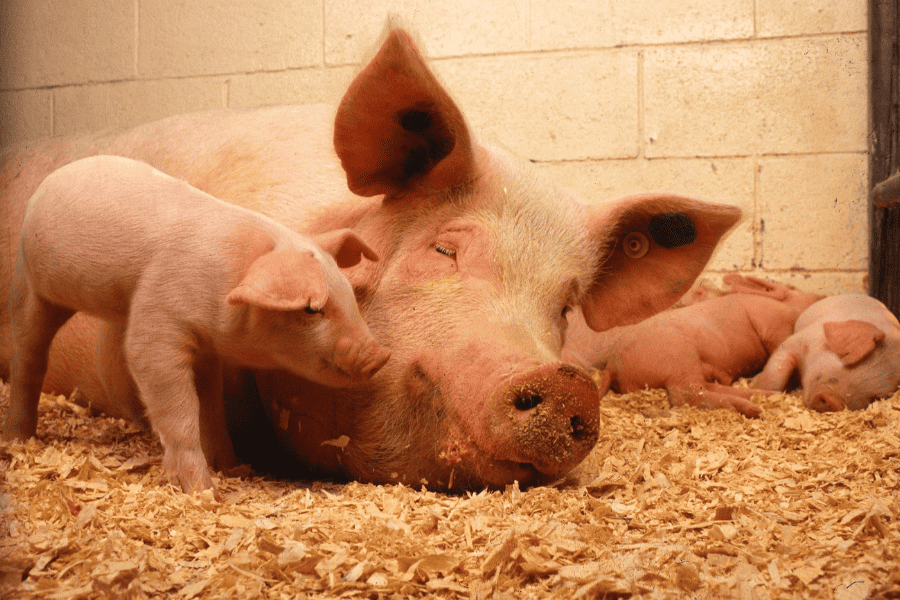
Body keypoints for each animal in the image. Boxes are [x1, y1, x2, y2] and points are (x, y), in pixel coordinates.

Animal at [3, 157, 390, 494]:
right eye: (311, 309)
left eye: (348, 293)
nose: (381, 355)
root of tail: (51, 179)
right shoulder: (157, 321)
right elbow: (177, 405)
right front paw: (203, 490)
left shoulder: (206, 350)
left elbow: (211, 408)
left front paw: (233, 469)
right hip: (30, 286)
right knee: (28, 357)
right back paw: (18, 439)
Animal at [564, 274, 824, 418]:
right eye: (794, 289)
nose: (819, 297)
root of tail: (613, 366)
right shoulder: (770, 322)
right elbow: (778, 342)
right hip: (680, 357)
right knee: (687, 395)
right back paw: (753, 409)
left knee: (706, 387)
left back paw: (761, 398)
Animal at [752, 294, 900, 412]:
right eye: (848, 361)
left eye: (874, 397)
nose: (833, 401)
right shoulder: (797, 340)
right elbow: (777, 373)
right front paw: (757, 388)